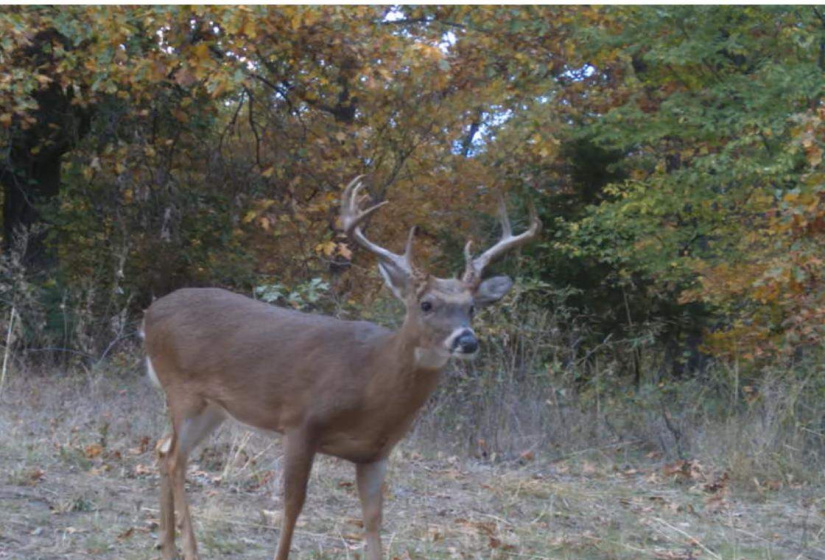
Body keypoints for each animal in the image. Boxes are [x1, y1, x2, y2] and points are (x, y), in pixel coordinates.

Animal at [142, 176, 540, 560]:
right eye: (426, 304)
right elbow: (293, 505)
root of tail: (149, 315)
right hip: (184, 390)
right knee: (176, 459)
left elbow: (374, 519)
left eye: (472, 308)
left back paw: (167, 546)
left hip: (214, 408)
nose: (467, 341)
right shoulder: (301, 422)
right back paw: (190, 549)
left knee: (163, 449)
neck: (371, 386)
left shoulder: (376, 452)